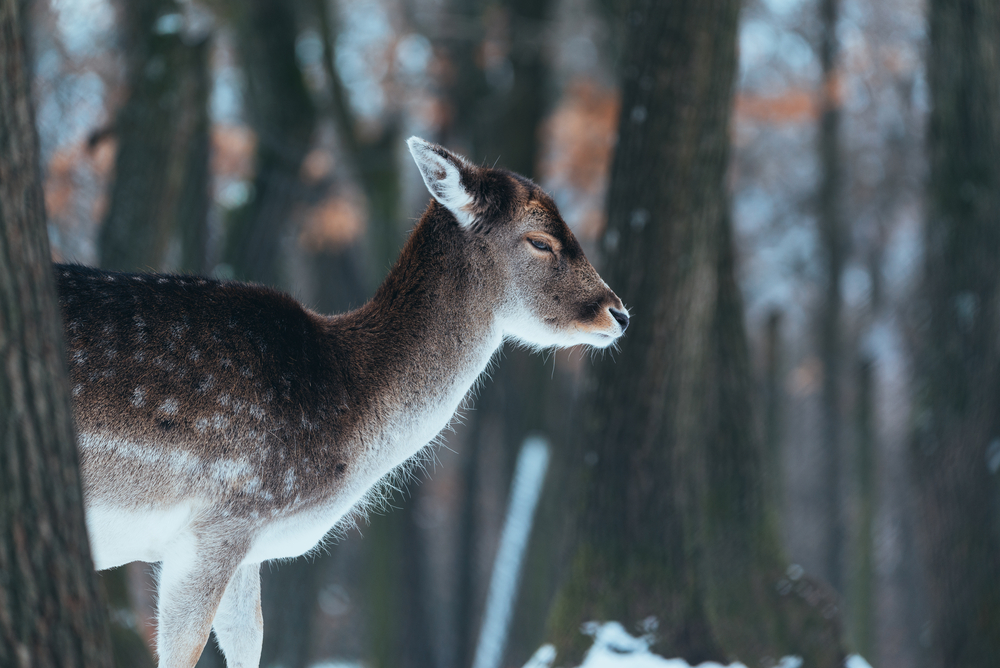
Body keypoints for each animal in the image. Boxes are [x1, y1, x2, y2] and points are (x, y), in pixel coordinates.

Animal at [54, 138, 628, 664]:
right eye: (540, 241)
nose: (619, 313)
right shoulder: (221, 519)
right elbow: (187, 650)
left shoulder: (247, 541)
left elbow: (249, 640)